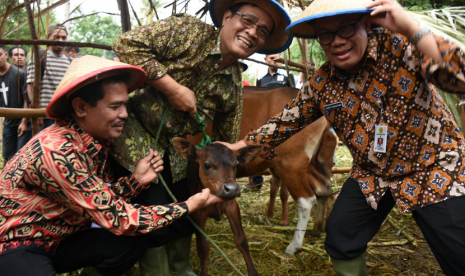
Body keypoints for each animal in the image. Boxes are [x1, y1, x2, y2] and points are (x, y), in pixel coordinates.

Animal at [172, 138, 262, 276]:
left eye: (236, 165)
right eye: (207, 165)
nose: (231, 189)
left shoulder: (232, 206)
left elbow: (242, 240)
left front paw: (253, 272)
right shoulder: (197, 214)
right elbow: (203, 247)